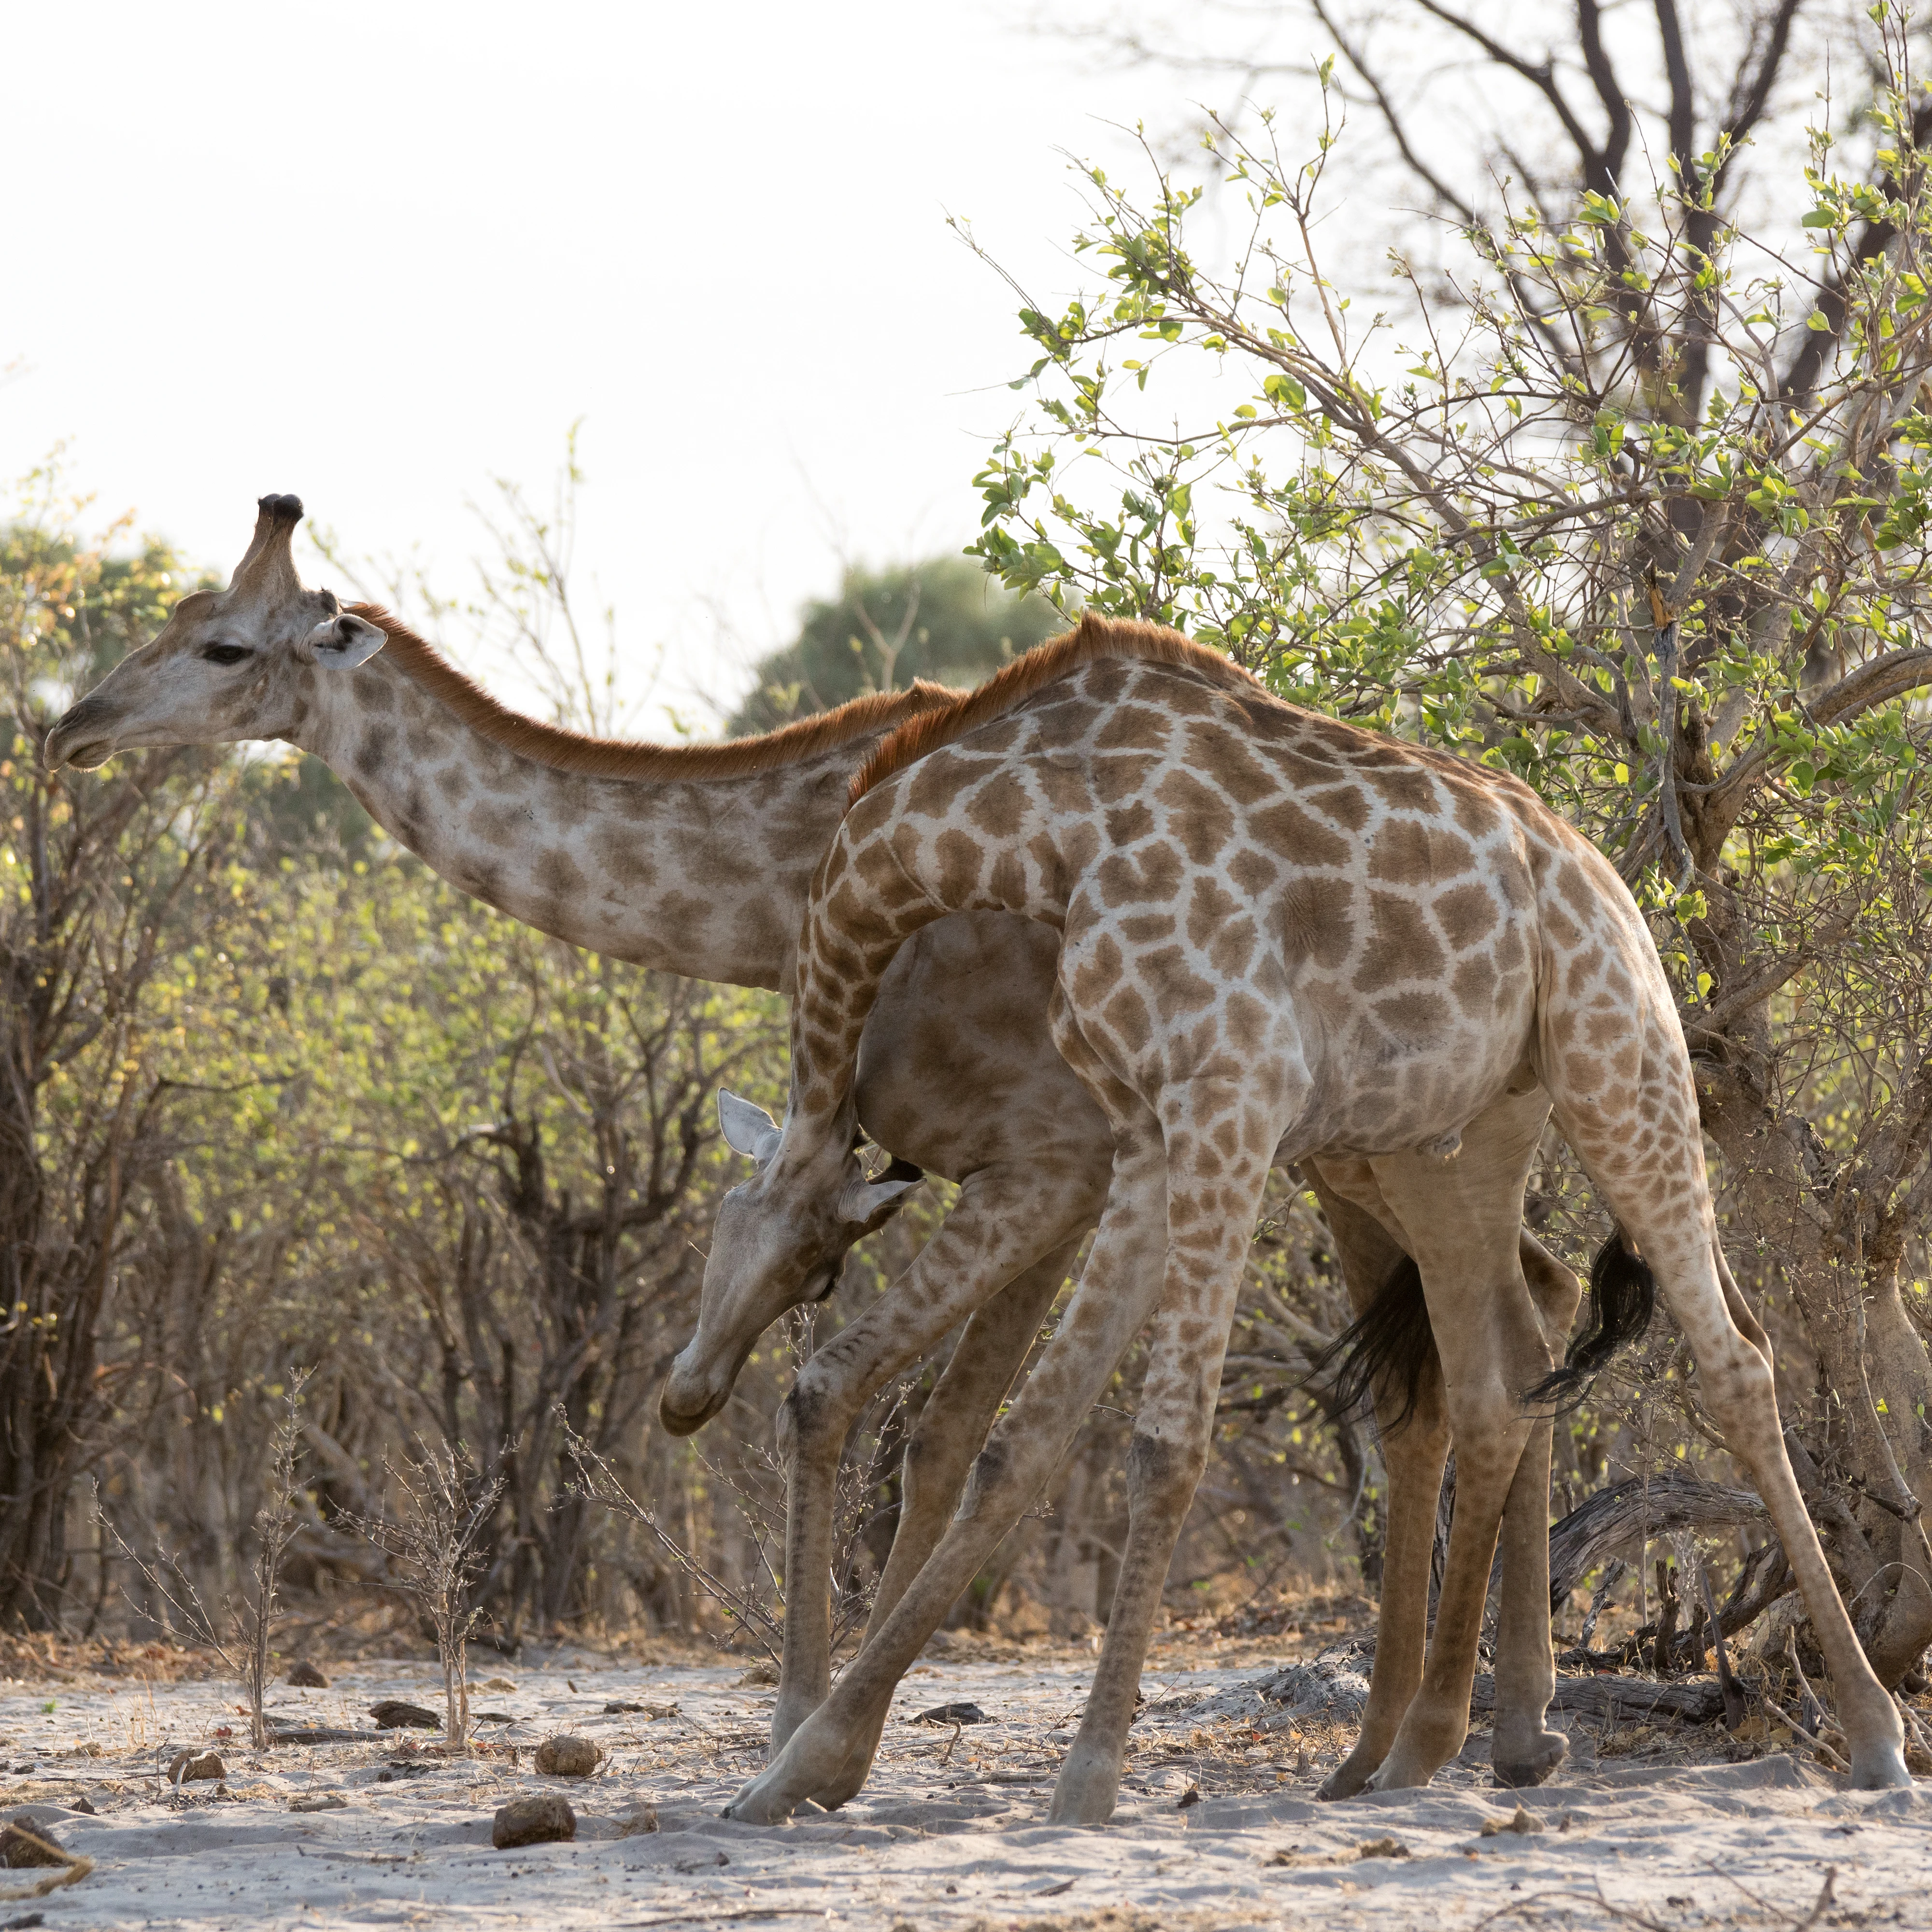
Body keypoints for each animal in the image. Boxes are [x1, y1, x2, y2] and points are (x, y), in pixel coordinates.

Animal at [49, 497, 1575, 1796]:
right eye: (177, 612)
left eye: (223, 644)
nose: (76, 725)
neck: (778, 871)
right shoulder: (1006, 1168)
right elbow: (920, 1425)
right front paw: (835, 1728)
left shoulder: (1053, 1154)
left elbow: (895, 1412)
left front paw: (812, 1735)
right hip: (1362, 1162)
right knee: (1498, 1339)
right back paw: (1468, 1733)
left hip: (1397, 1156)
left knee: (1480, 1356)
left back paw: (1440, 1733)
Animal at [696, 610, 1911, 1827]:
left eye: (814, 1268)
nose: (684, 1393)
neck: (1038, 826)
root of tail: (1611, 878)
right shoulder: (1148, 1131)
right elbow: (1024, 1440)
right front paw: (801, 1766)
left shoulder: (1229, 1096)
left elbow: (1164, 1442)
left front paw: (1085, 1775)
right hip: (1472, 1130)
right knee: (1494, 1381)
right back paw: (1426, 1748)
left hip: (1617, 1061)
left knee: (1732, 1361)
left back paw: (1873, 1736)